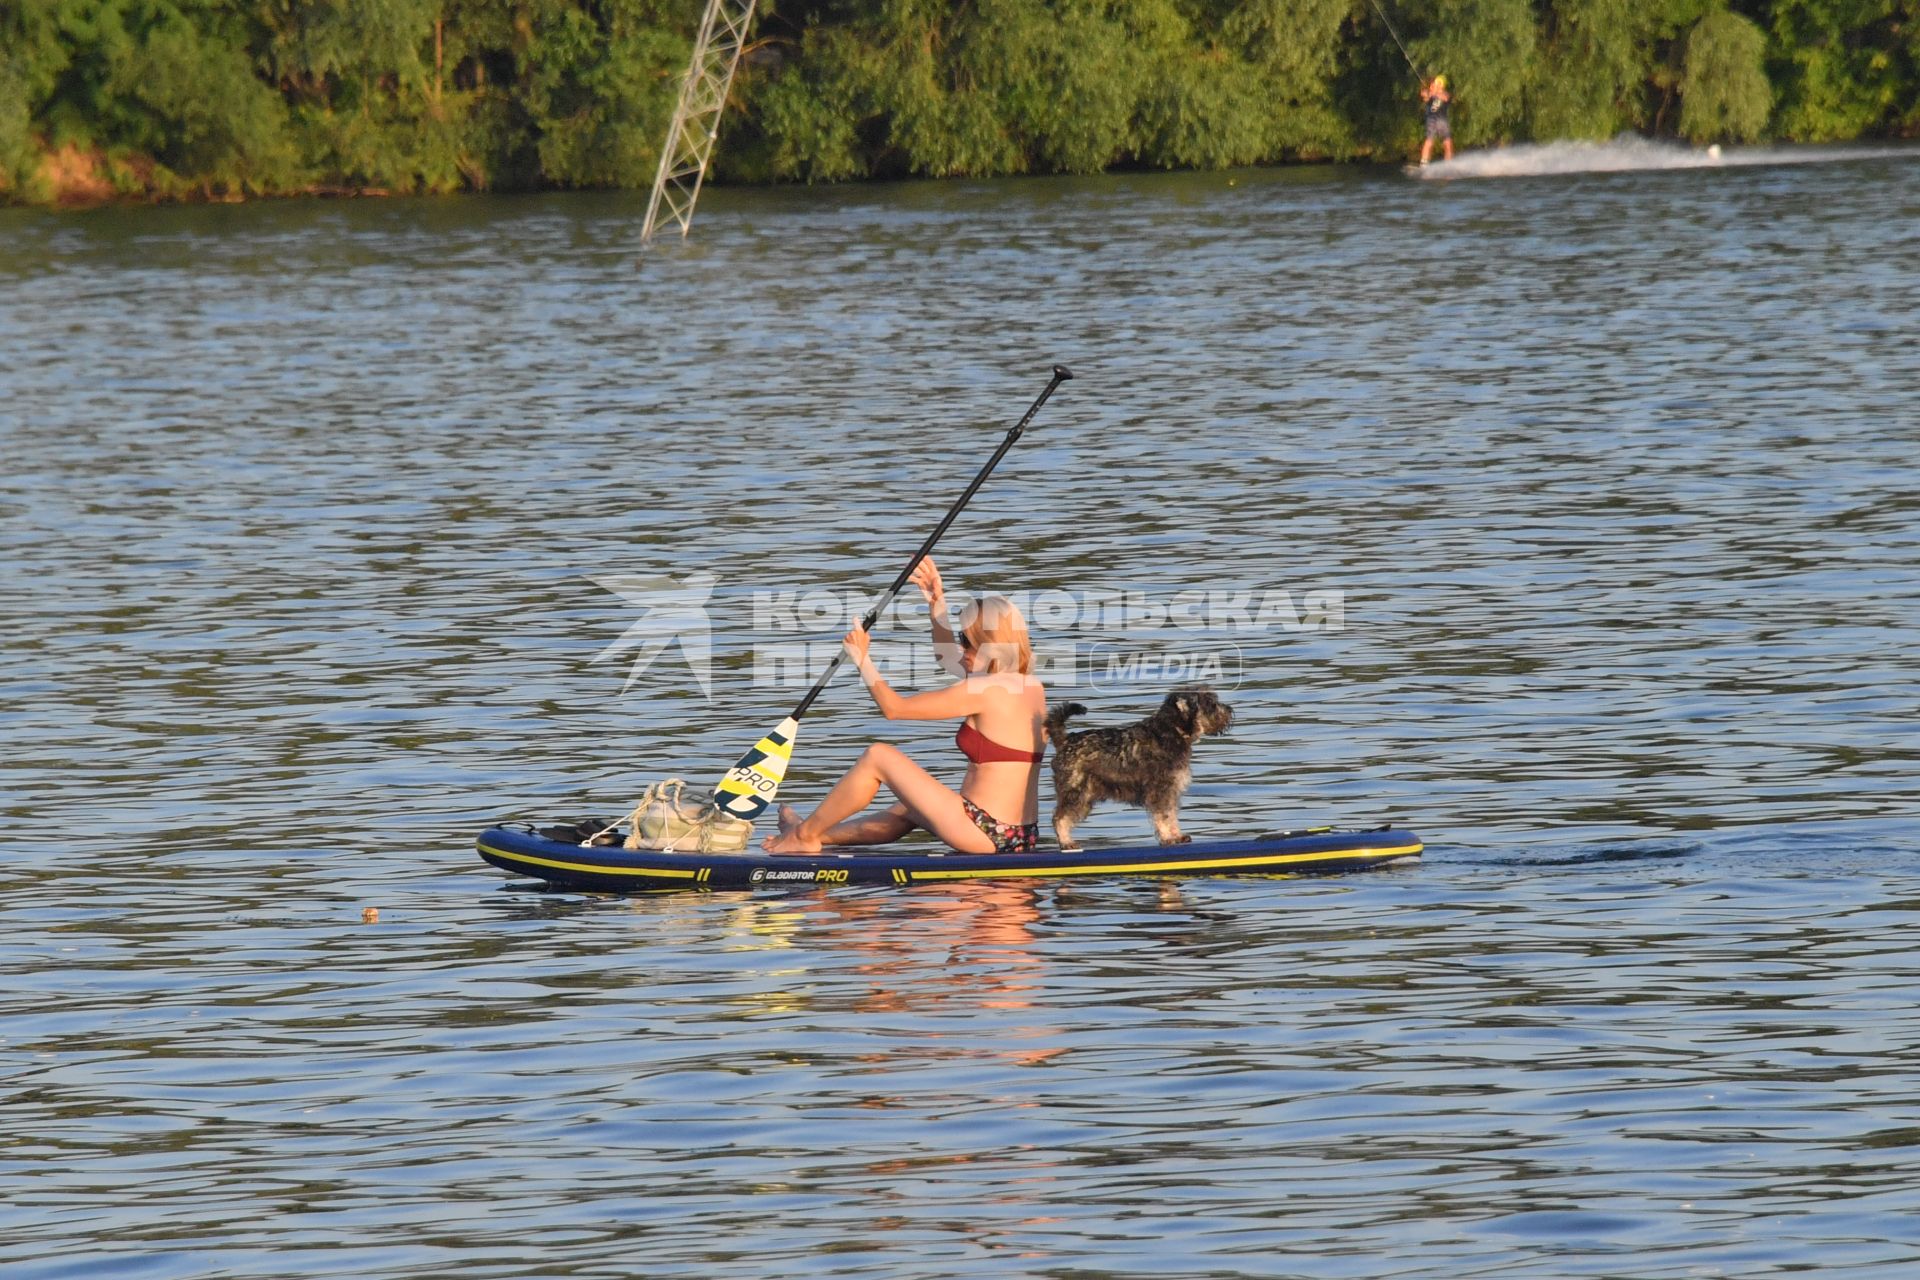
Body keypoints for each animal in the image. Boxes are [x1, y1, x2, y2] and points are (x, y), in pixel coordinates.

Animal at [1044, 690, 1236, 852]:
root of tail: (1066, 740)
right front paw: (1168, 838)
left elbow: (1172, 815)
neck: (1171, 731)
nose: (1229, 710)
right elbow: (1163, 816)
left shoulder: (1171, 791)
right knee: (1060, 818)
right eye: (1210, 703)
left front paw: (1177, 836)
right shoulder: (1160, 791)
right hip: (1076, 793)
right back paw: (1067, 842)